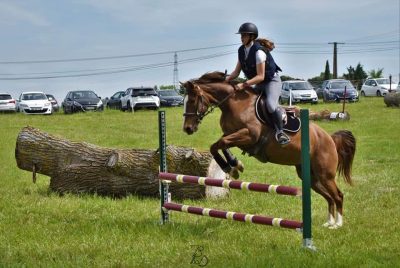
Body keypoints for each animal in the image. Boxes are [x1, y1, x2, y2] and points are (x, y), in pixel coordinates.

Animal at [182, 71, 356, 228]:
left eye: (192, 100)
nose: (187, 129)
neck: (234, 104)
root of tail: (330, 139)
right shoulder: (233, 135)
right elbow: (219, 144)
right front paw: (234, 165)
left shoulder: (249, 136)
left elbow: (220, 143)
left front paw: (230, 167)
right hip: (311, 177)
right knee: (329, 197)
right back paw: (329, 222)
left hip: (325, 175)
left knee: (338, 195)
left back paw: (338, 224)